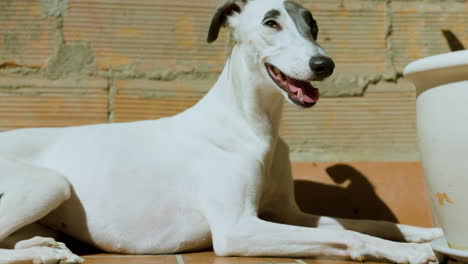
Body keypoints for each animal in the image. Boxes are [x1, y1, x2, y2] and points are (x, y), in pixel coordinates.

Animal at [0, 0, 442, 262]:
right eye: (271, 22)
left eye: (312, 25)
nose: (324, 64)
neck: (250, 126)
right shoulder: (237, 230)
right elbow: (351, 236)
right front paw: (405, 252)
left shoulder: (287, 213)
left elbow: (367, 223)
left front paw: (429, 234)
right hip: (50, 184)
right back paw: (43, 253)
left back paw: (42, 246)